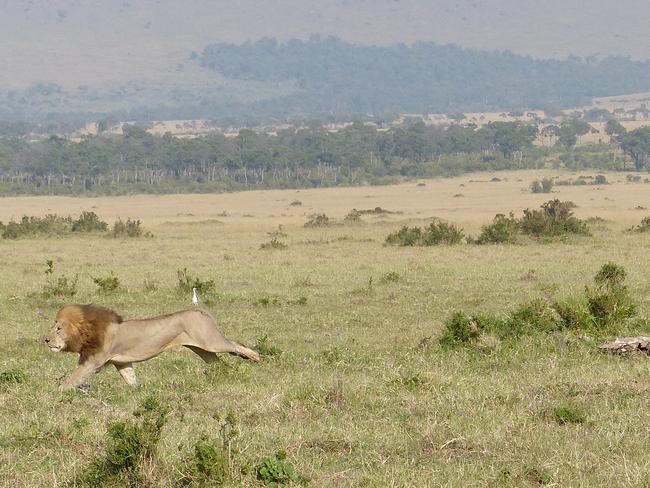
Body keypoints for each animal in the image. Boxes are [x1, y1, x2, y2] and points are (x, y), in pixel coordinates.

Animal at [43, 304, 258, 390]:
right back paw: (223, 375)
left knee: (235, 344)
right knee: (218, 363)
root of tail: (201, 310)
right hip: (203, 350)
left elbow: (73, 379)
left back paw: (255, 356)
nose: (45, 340)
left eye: (59, 328)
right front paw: (137, 391)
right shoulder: (122, 363)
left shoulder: (92, 362)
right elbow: (130, 378)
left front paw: (55, 392)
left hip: (211, 342)